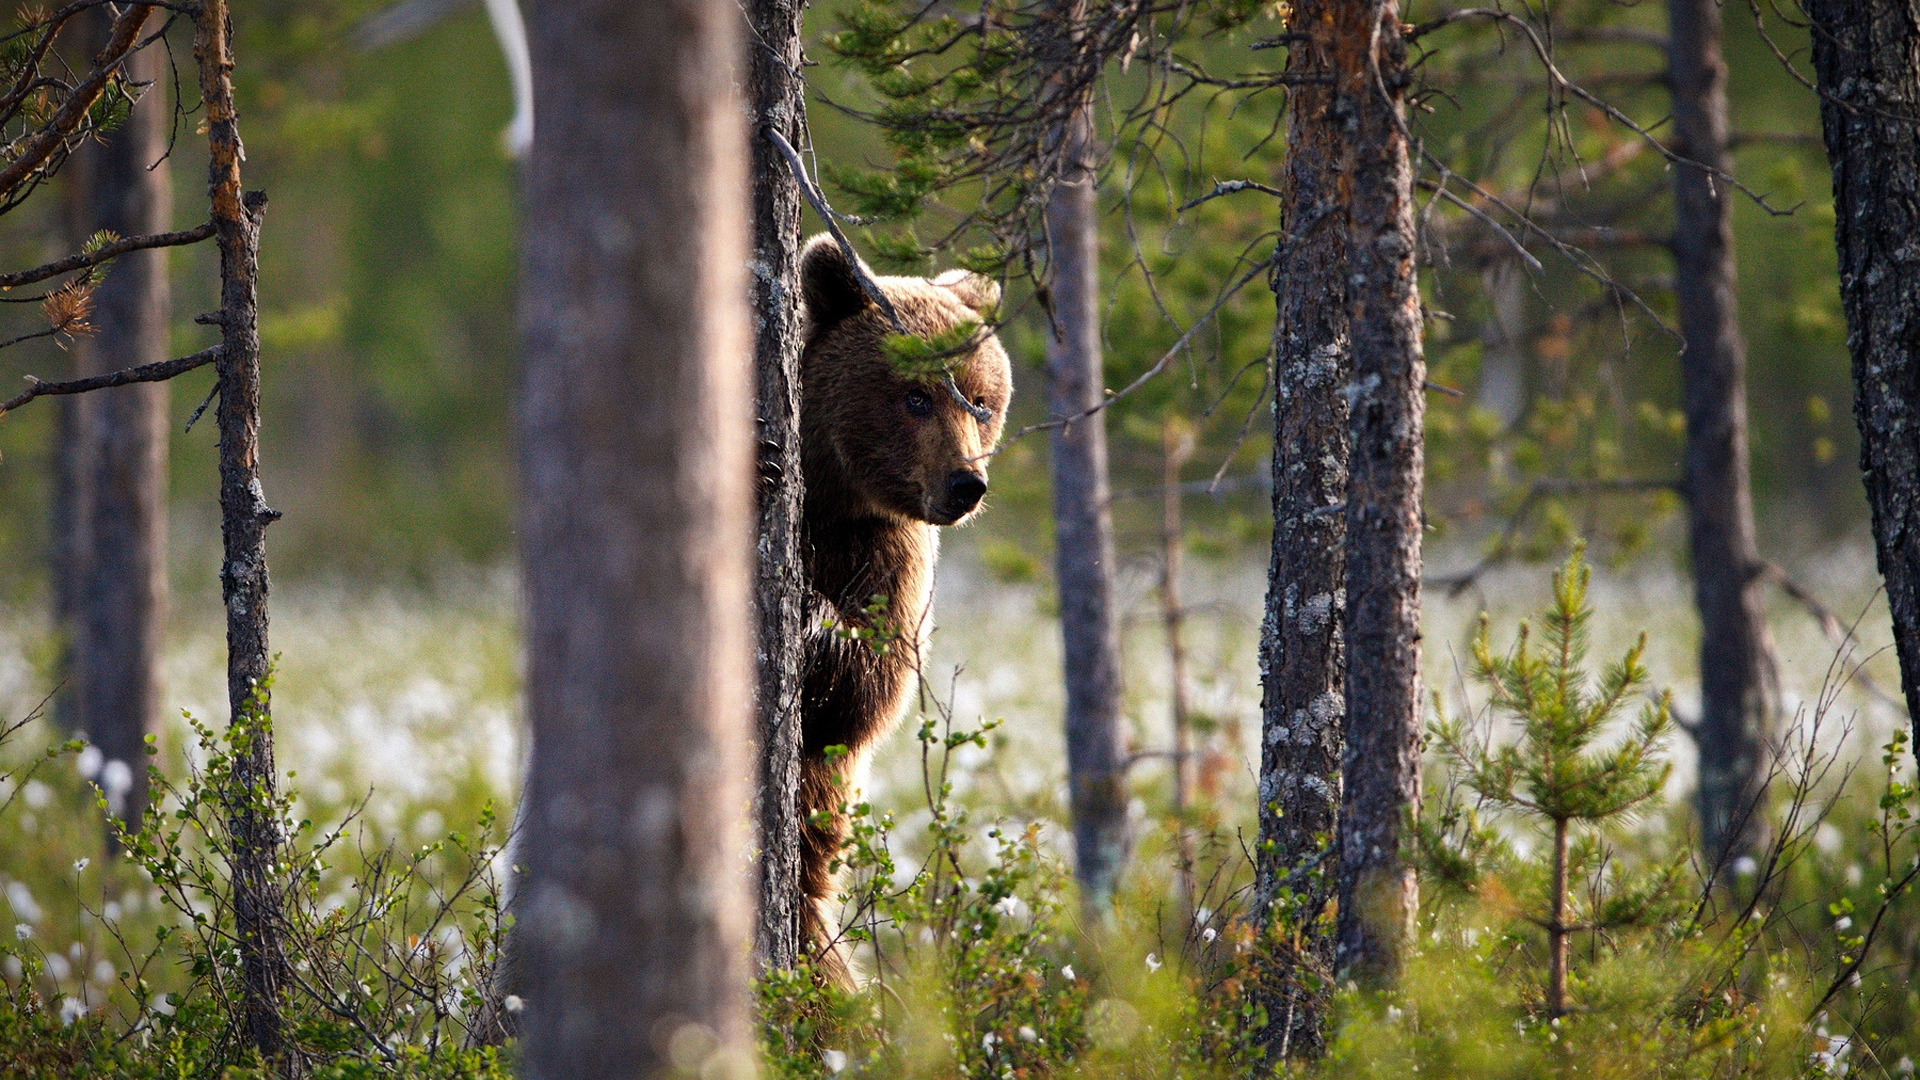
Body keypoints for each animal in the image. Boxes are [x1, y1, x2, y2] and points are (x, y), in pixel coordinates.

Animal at [794, 237, 1013, 983]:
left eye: (980, 400)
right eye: (915, 396)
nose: (966, 483)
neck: (830, 497)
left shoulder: (892, 553)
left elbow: (870, 689)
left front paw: (817, 619)